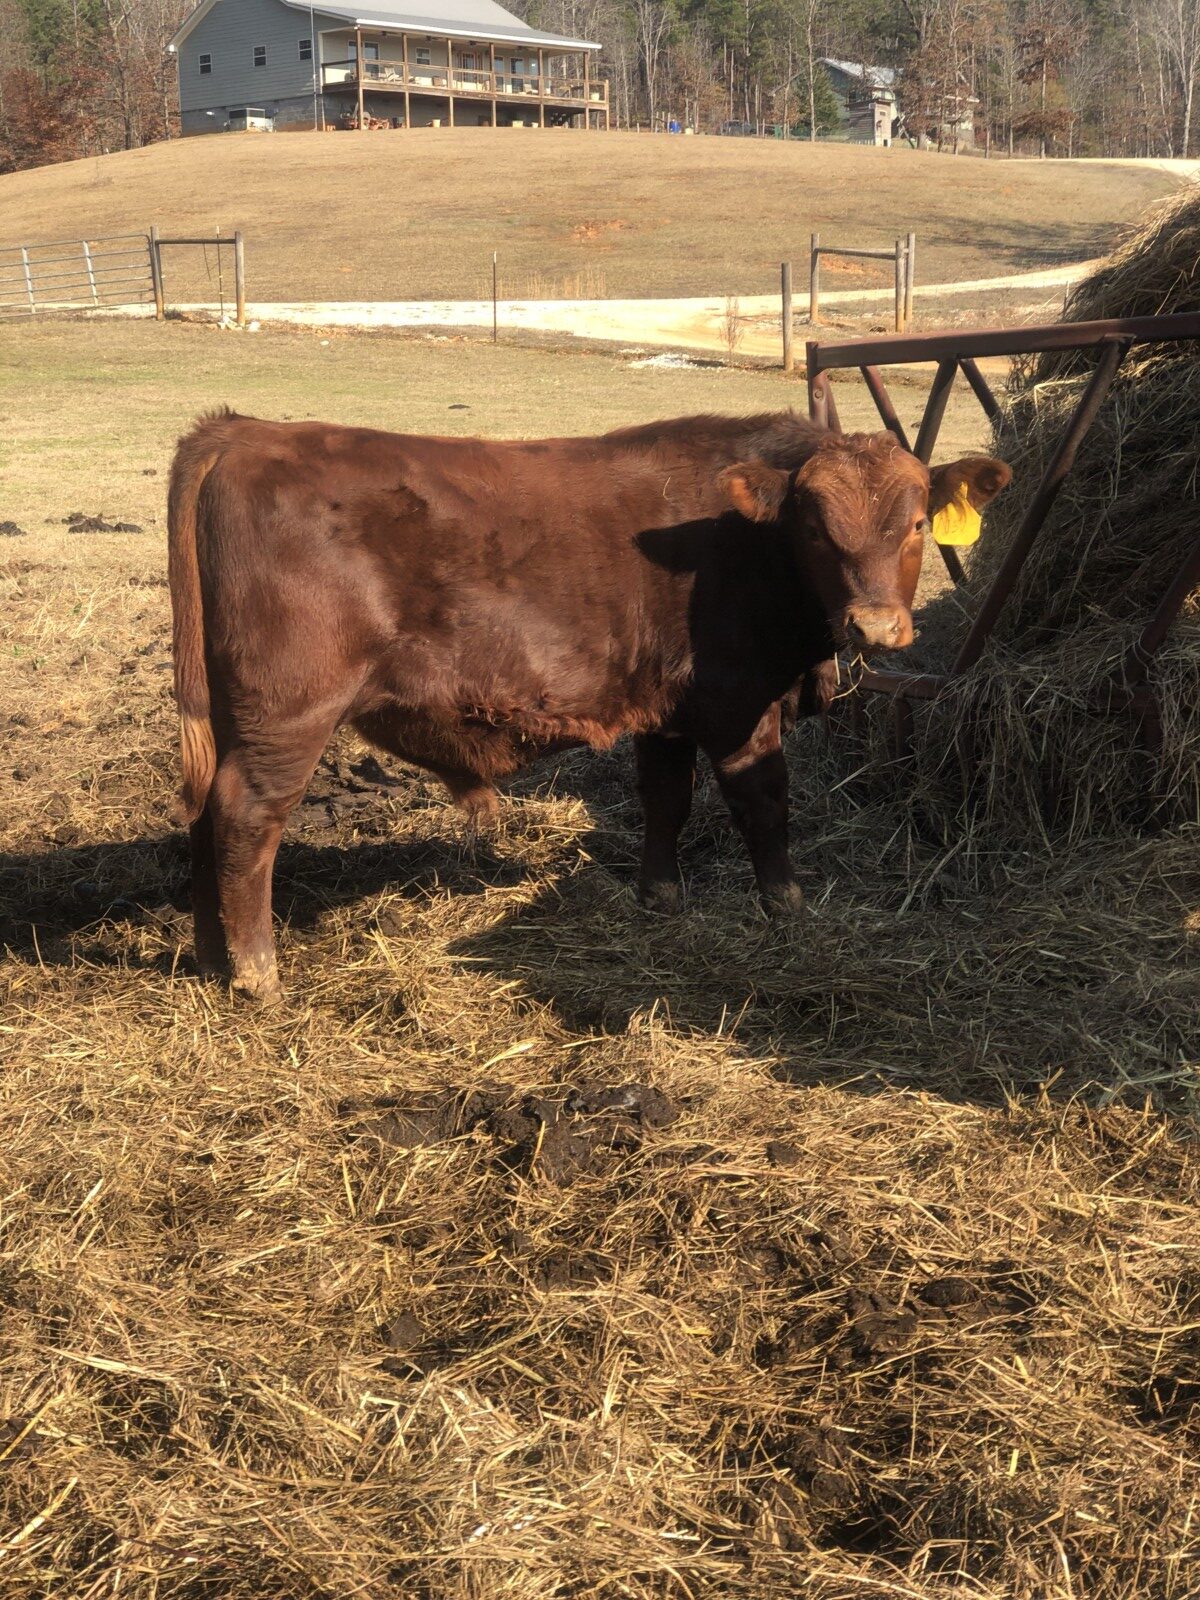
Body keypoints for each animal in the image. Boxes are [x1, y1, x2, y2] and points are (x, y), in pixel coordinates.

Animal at [168, 409, 1010, 1001]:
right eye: (812, 528)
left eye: (919, 523)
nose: (877, 626)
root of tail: (244, 432)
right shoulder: (739, 703)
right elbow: (762, 803)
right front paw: (789, 906)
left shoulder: (669, 709)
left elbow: (666, 800)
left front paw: (661, 900)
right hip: (289, 713)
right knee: (245, 816)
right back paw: (259, 974)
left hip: (228, 714)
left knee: (204, 812)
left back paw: (212, 960)